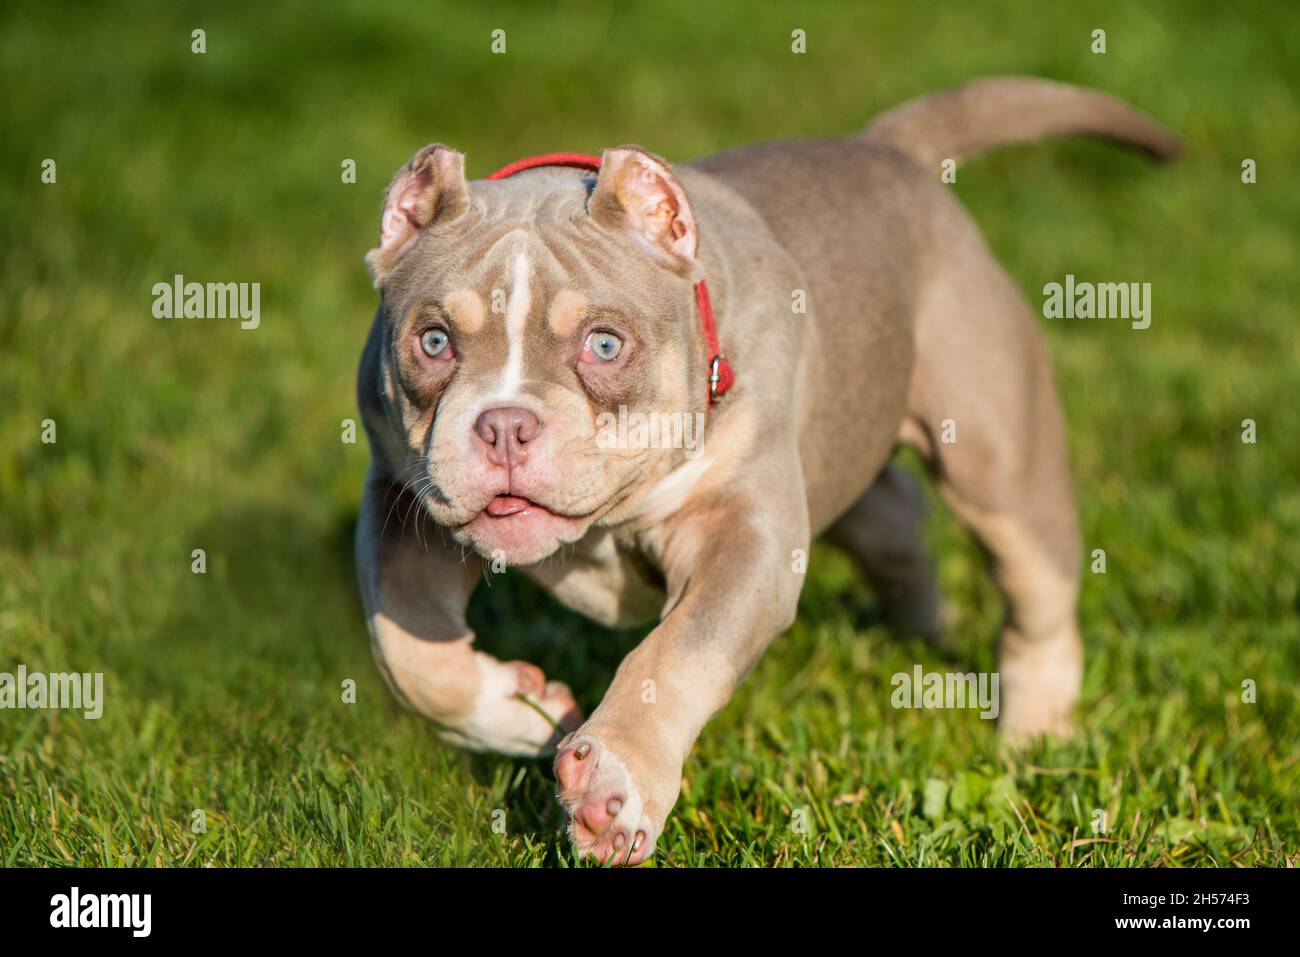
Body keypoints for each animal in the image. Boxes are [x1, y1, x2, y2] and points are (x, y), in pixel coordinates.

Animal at [353, 76, 1180, 868]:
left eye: (605, 345)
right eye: (433, 340)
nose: (504, 424)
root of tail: (887, 148)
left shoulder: (746, 535)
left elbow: (673, 655)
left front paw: (614, 785)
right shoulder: (400, 499)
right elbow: (405, 645)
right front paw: (512, 708)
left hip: (993, 451)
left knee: (1036, 588)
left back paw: (1036, 736)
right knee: (890, 515)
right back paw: (916, 625)